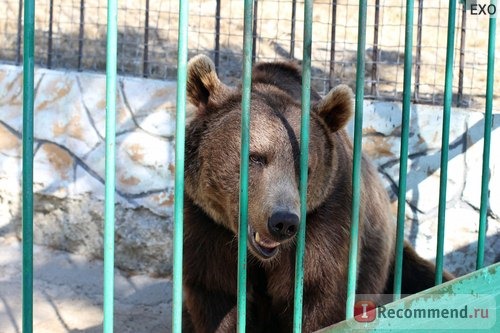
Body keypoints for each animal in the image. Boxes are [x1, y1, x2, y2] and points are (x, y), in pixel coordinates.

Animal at [181, 53, 454, 330]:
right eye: (256, 157)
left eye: (305, 168)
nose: (283, 221)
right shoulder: (208, 225)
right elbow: (217, 294)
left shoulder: (328, 220)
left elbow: (320, 296)